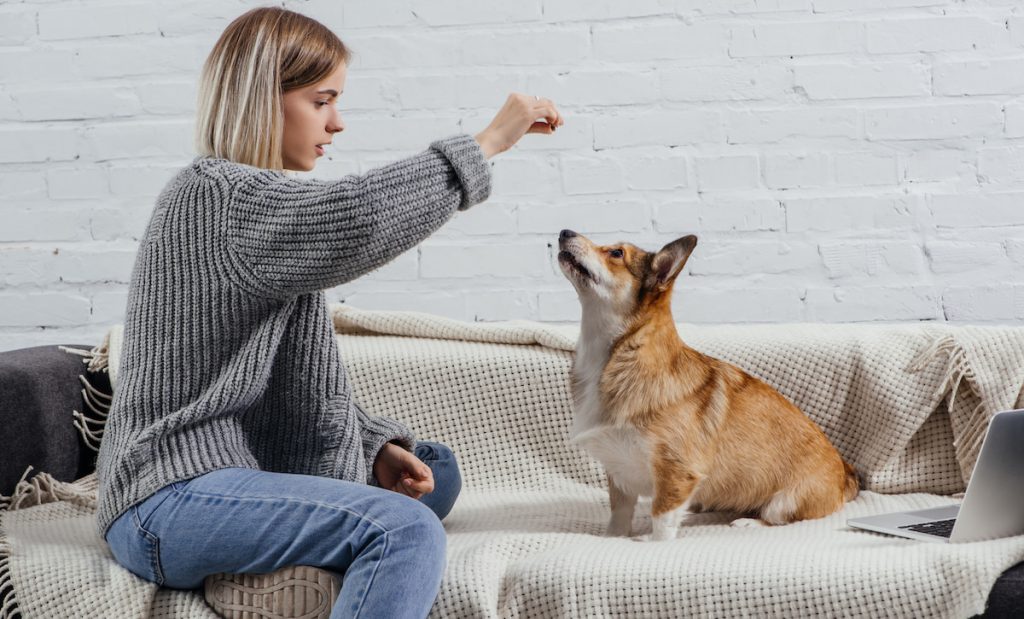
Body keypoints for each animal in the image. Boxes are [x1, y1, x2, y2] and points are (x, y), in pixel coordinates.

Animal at [557, 229, 860, 541]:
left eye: (616, 253)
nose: (565, 232)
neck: (614, 355)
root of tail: (845, 474)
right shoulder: (618, 473)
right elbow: (619, 514)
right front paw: (614, 538)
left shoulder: (676, 471)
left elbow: (661, 517)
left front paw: (652, 543)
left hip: (785, 502)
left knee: (777, 517)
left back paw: (748, 522)